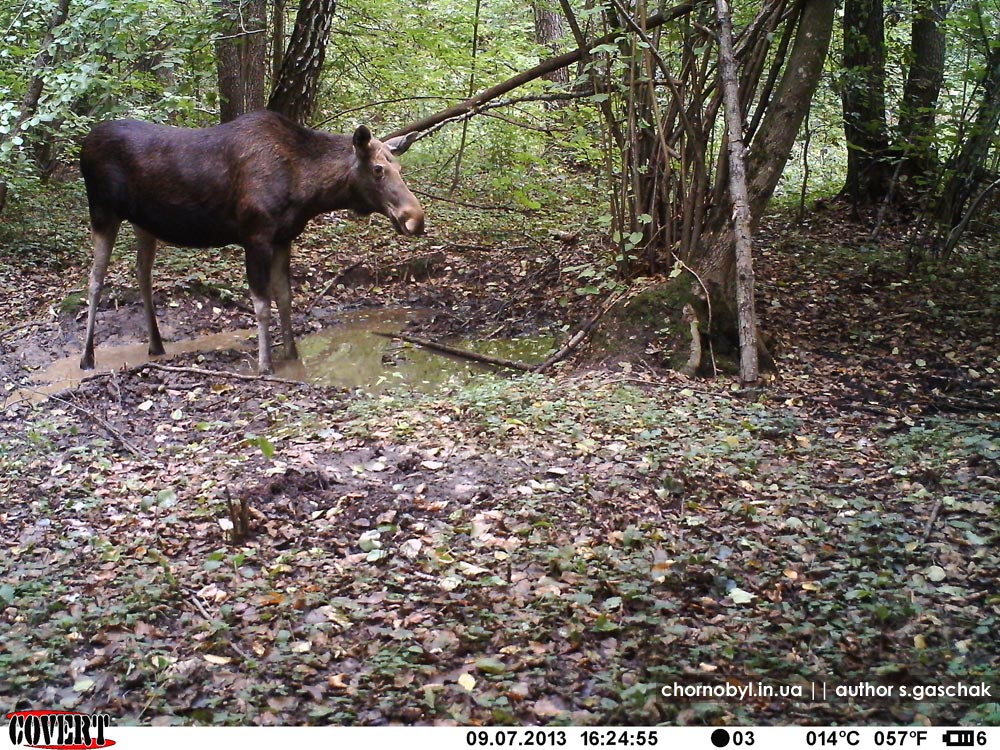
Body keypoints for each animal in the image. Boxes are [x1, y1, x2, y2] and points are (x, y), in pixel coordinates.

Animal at [77, 111, 422, 376]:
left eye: (399, 168)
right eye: (378, 169)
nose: (414, 218)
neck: (308, 192)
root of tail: (84, 144)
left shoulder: (284, 238)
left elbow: (285, 297)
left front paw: (291, 354)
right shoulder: (256, 237)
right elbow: (262, 304)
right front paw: (265, 364)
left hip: (143, 223)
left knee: (142, 274)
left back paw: (156, 344)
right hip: (102, 212)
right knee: (94, 280)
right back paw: (87, 357)